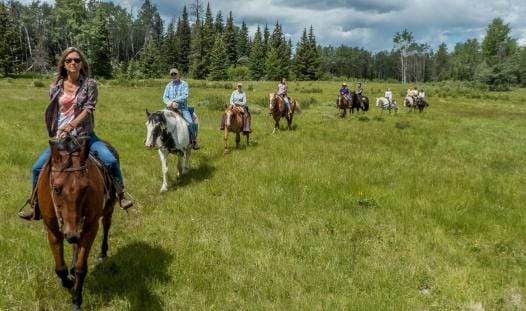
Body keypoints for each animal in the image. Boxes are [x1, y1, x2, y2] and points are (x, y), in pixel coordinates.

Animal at [36, 135, 117, 311]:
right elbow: (60, 268)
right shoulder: (52, 229)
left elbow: (81, 268)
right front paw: (68, 280)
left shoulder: (90, 228)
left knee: (106, 225)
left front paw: (77, 300)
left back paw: (103, 253)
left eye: (86, 187)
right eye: (56, 188)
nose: (71, 233)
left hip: (108, 210)